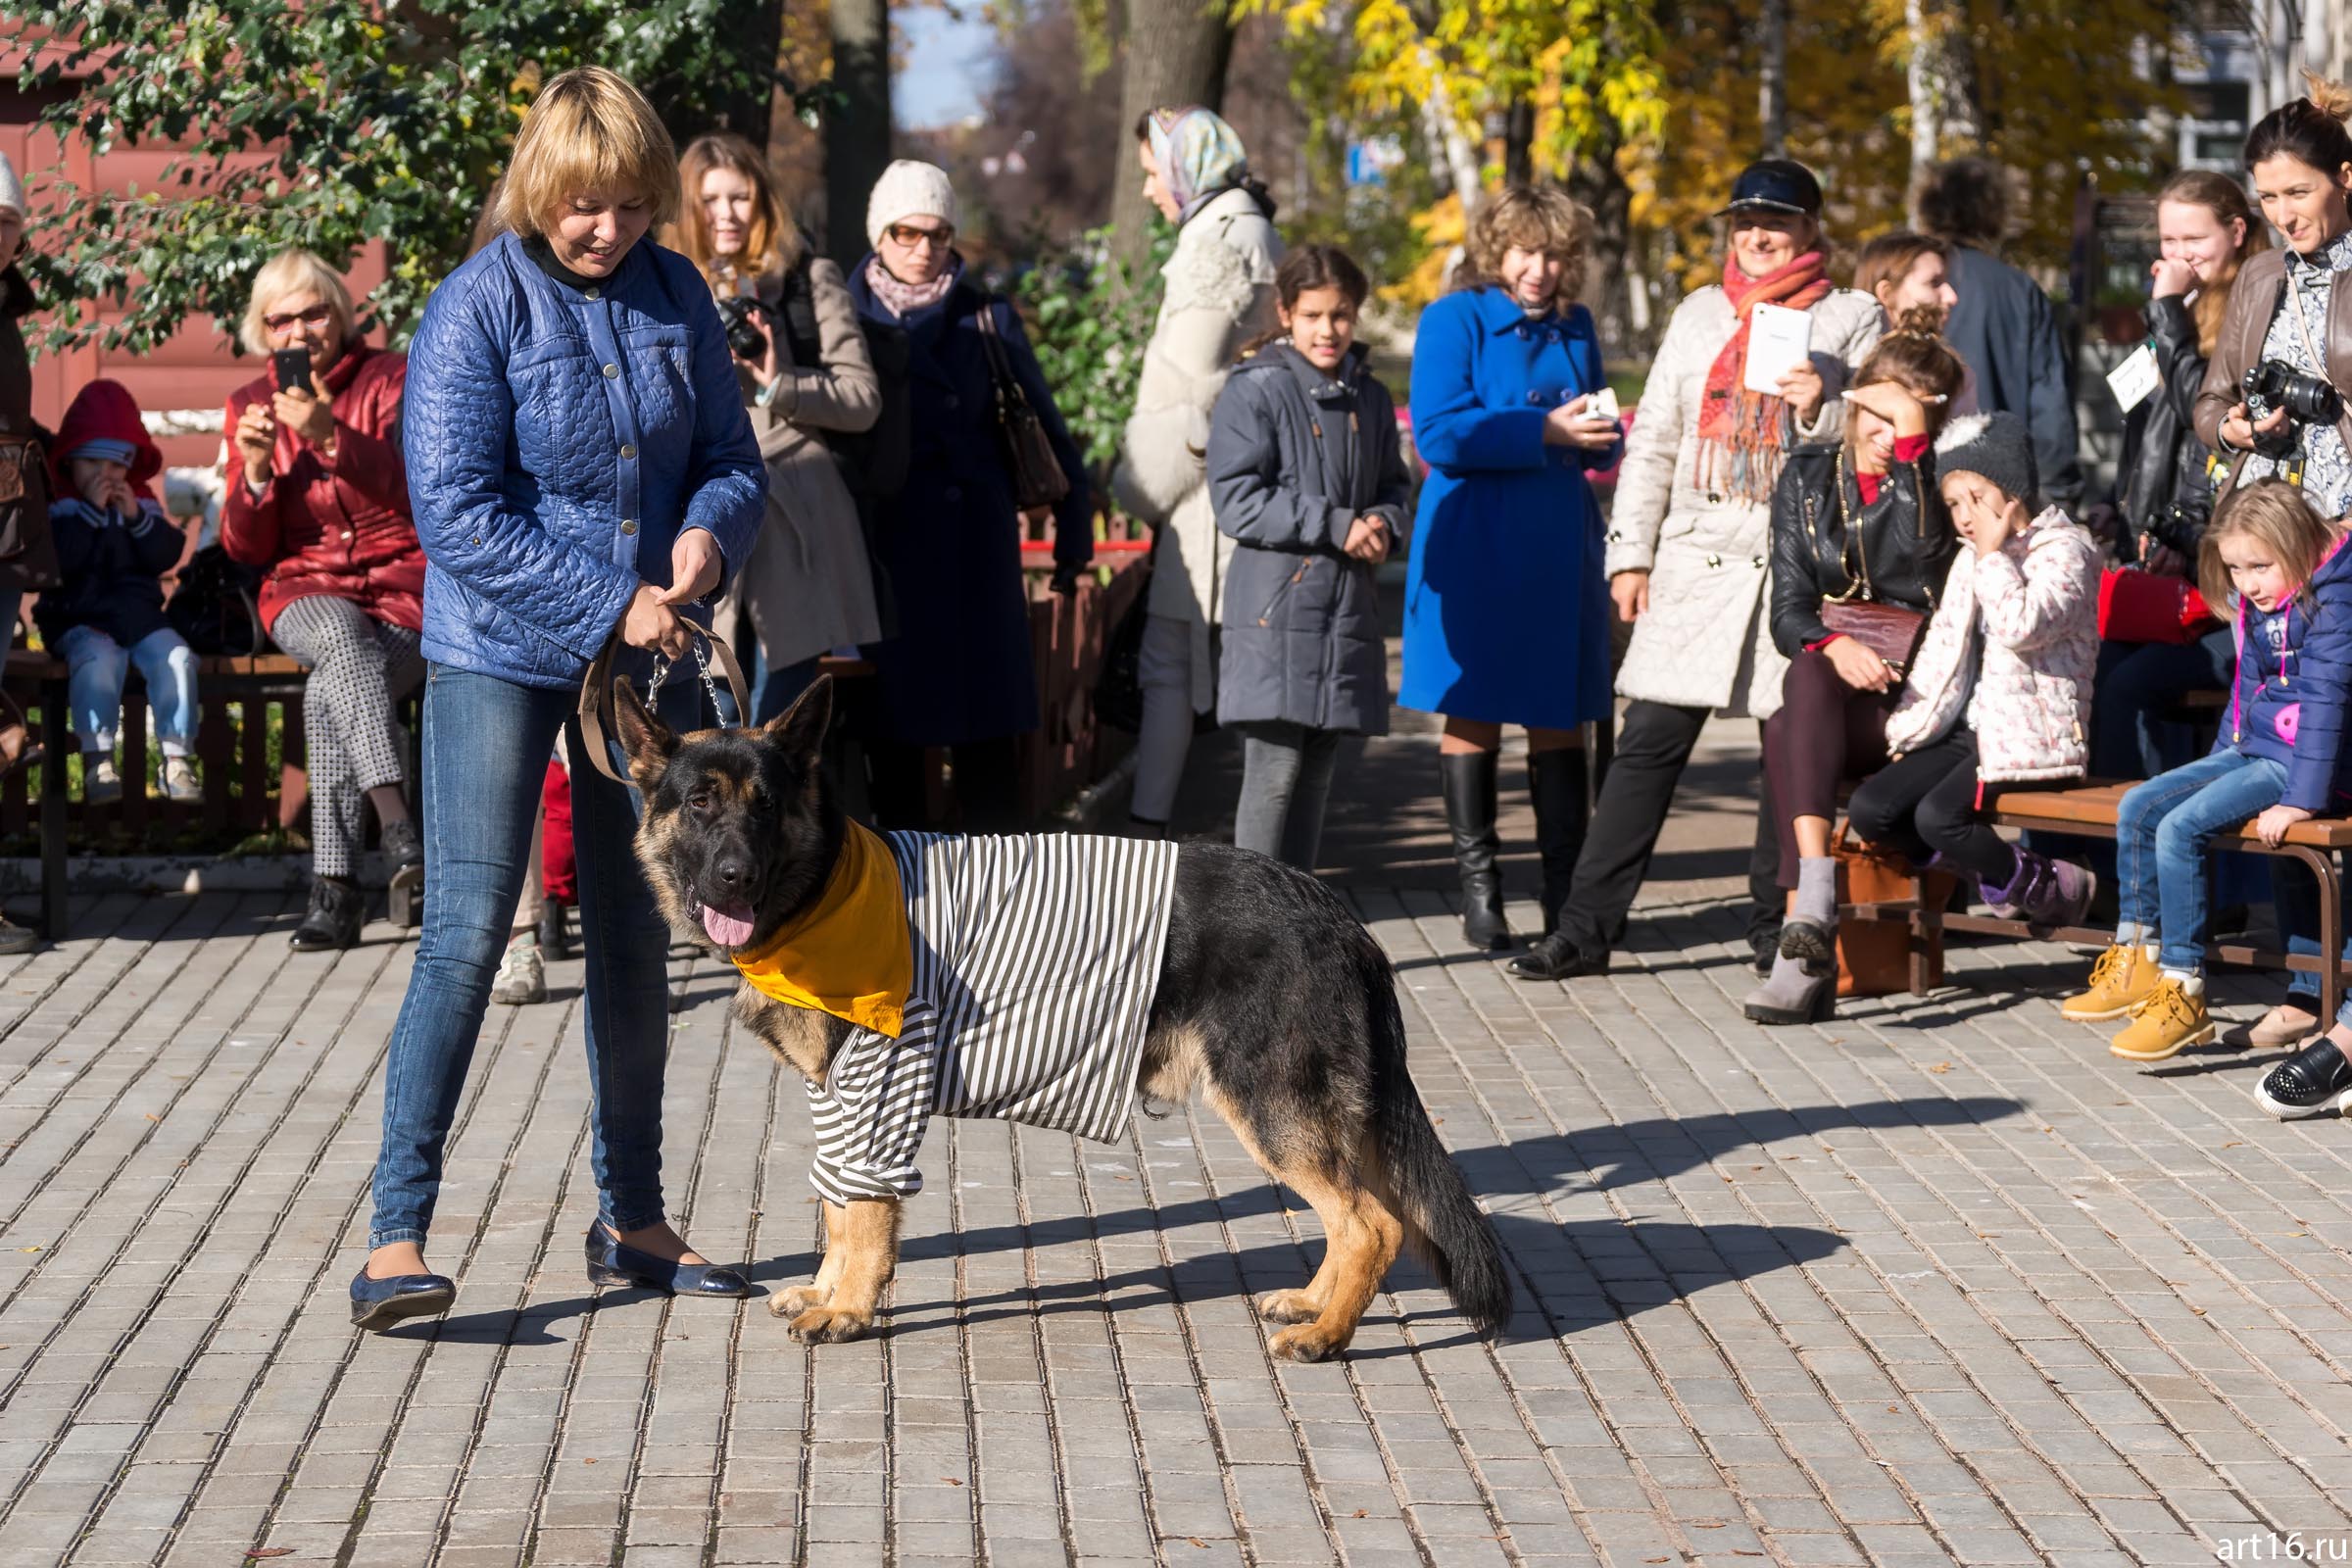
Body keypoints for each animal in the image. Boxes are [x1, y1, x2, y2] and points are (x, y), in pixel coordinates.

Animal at [612, 676, 1505, 1363]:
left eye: (764, 808)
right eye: (700, 803)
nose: (736, 877)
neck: (823, 884)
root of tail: (1340, 915)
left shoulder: (879, 1092)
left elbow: (862, 1211)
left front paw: (850, 1309)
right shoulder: (837, 1096)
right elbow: (837, 1203)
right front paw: (827, 1291)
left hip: (1271, 1109)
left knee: (1371, 1225)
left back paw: (1327, 1337)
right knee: (1368, 1215)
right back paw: (1316, 1306)